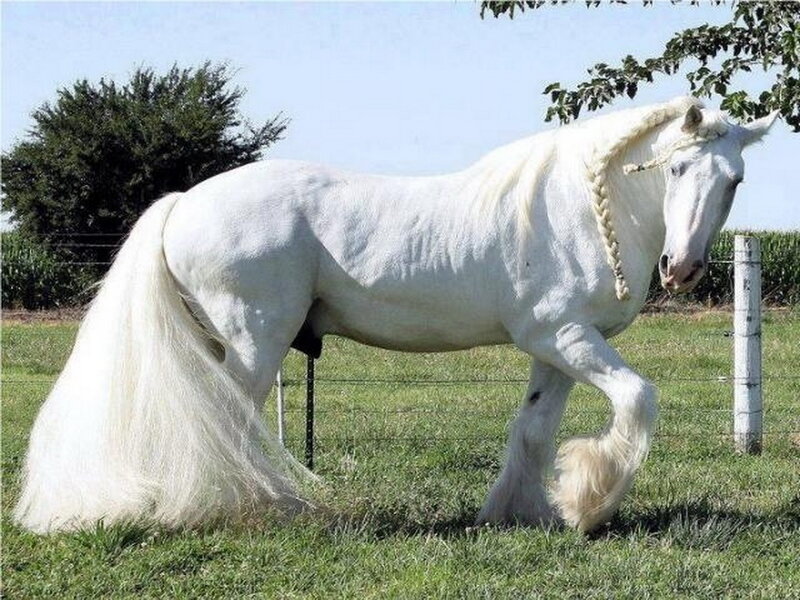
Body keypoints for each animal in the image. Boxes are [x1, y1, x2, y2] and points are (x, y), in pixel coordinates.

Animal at [13, 96, 777, 534]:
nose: (683, 268)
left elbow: (532, 431)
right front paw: (591, 507)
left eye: (735, 180)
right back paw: (249, 508)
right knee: (225, 421)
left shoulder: (555, 348)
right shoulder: (564, 336)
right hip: (254, 340)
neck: (575, 210)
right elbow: (638, 398)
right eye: (676, 169)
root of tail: (183, 203)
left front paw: (523, 512)